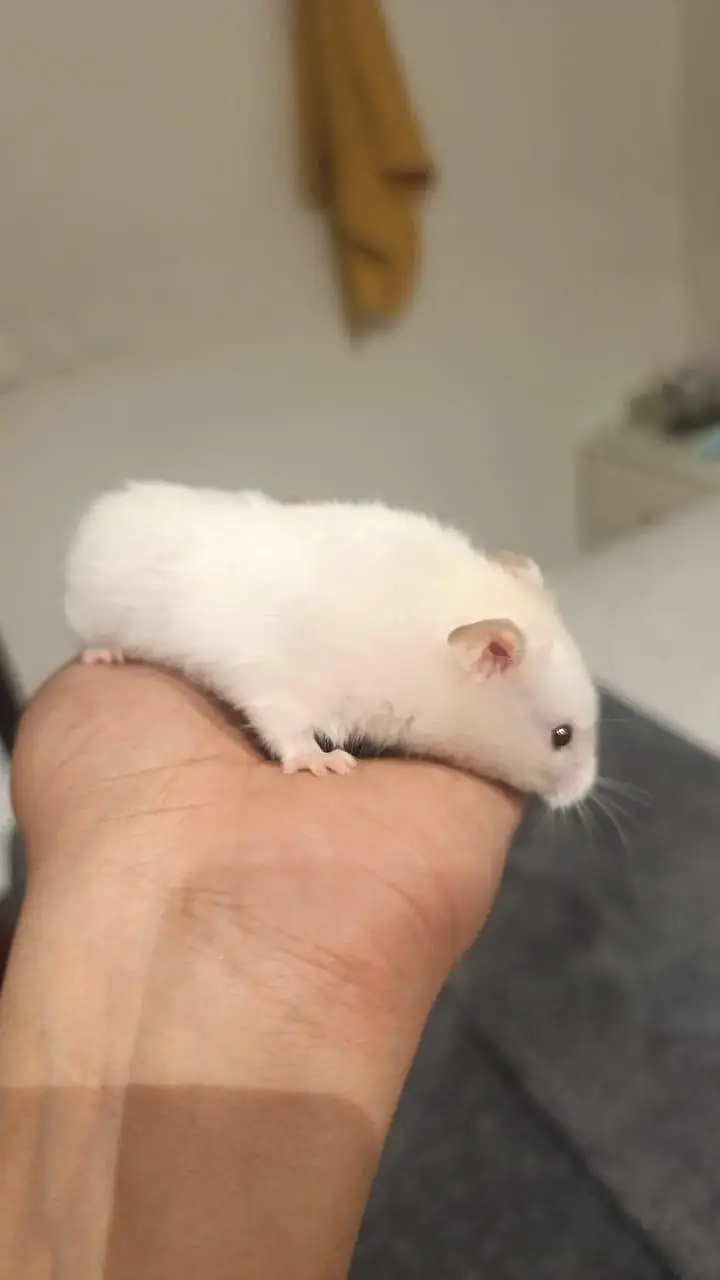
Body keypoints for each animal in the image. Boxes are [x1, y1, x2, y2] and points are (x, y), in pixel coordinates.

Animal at [65, 482, 598, 808]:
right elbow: (289, 728)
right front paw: (326, 764)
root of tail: (95, 516)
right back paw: (106, 654)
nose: (584, 793)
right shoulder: (283, 682)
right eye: (562, 735)